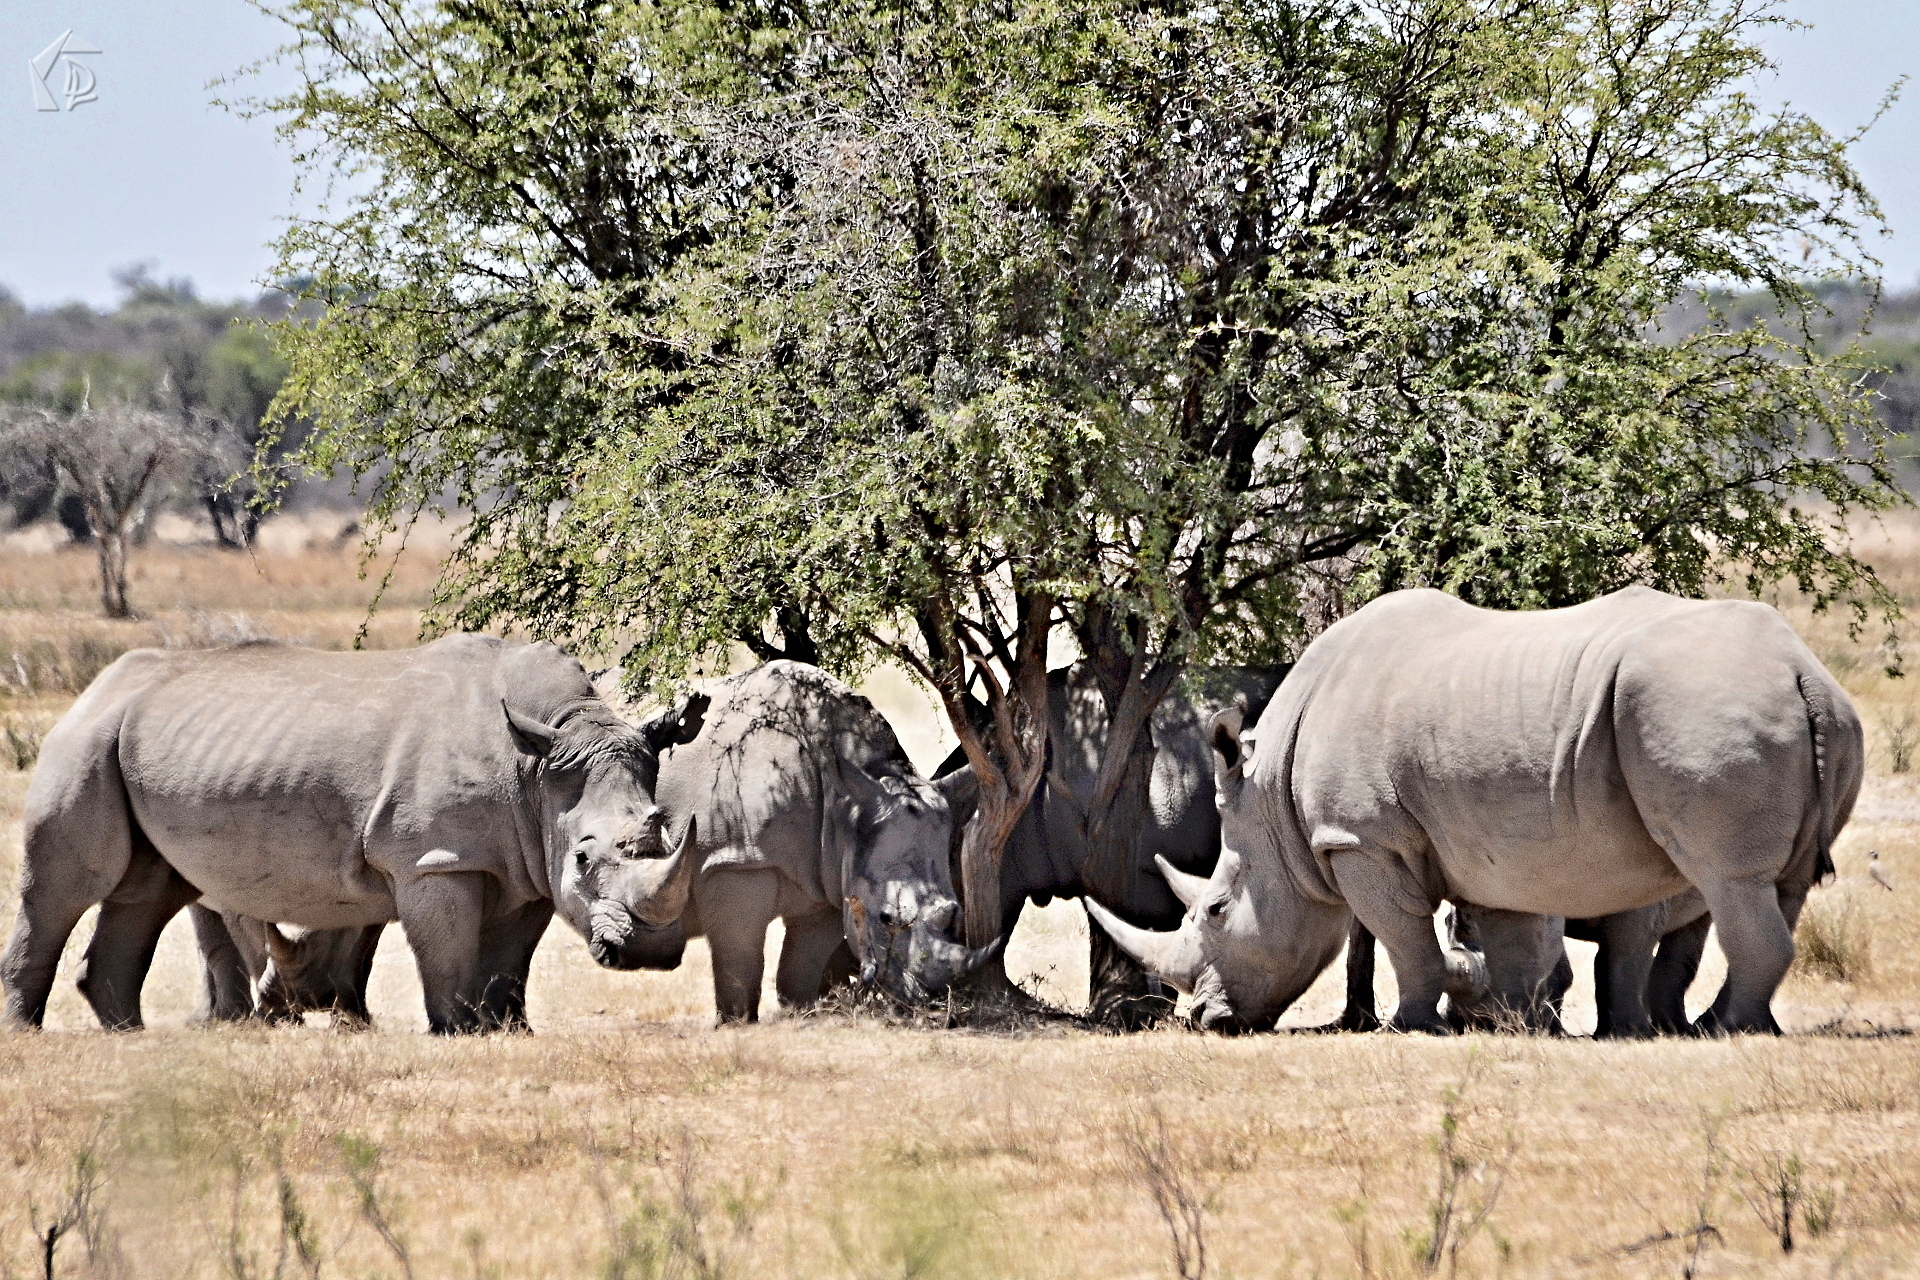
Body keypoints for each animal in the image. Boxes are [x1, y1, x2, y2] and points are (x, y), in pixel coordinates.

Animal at [2, 636, 706, 1034]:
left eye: (663, 831)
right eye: (586, 858)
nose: (648, 952)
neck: (547, 755)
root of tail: (97, 687)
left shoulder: (528, 861)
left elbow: (511, 960)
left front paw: (511, 1032)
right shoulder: (434, 859)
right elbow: (447, 950)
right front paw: (457, 1032)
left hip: (141, 744)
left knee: (147, 891)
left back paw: (127, 1036)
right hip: (85, 739)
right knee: (65, 886)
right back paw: (25, 1035)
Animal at [608, 661, 997, 1022]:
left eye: (955, 913)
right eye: (885, 918)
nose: (933, 1005)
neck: (848, 804)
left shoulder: (831, 874)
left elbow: (802, 965)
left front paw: (801, 1013)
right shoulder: (737, 863)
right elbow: (739, 956)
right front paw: (736, 1023)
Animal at [1091, 587, 1860, 1035]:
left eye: (1216, 910)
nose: (1203, 1019)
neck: (1277, 802)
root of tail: (1803, 670)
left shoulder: (1359, 840)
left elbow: (1404, 937)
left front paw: (1410, 1026)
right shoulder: (1501, 845)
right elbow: (1514, 938)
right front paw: (1515, 1024)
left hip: (1695, 706)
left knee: (1727, 878)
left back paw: (1724, 1031)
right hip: (1795, 713)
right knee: (1781, 884)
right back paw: (1722, 1027)